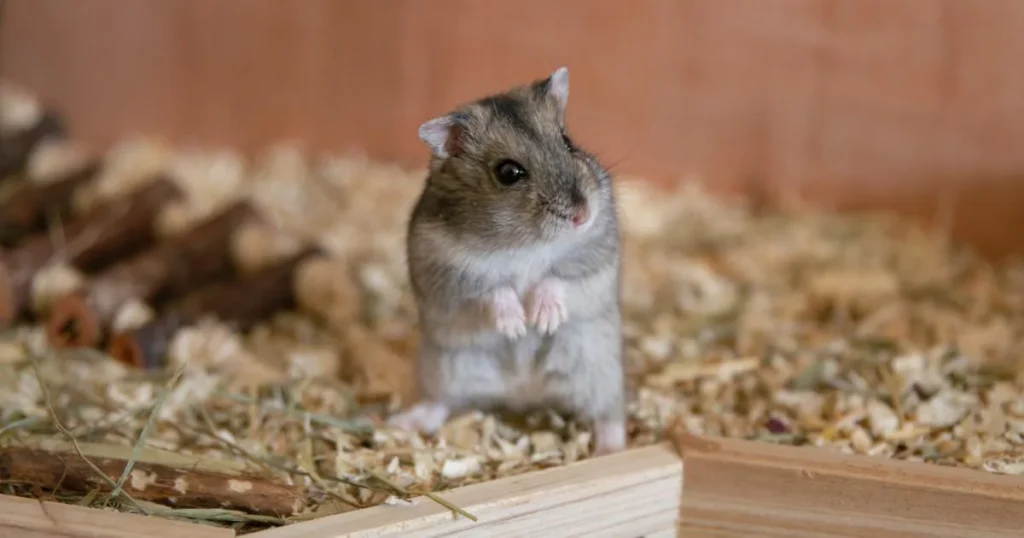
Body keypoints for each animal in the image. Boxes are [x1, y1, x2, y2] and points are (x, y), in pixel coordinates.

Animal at [387, 66, 626, 456]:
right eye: (508, 173)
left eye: (567, 141)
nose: (582, 215)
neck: (526, 242)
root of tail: (524, 394)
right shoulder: (449, 270)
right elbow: (493, 290)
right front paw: (516, 326)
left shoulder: (595, 254)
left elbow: (557, 278)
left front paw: (542, 320)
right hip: (445, 368)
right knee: (440, 403)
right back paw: (401, 422)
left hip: (599, 369)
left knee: (610, 414)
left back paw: (611, 450)